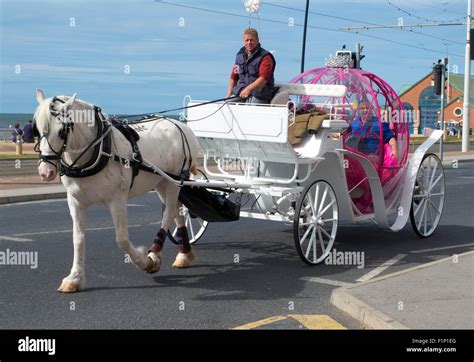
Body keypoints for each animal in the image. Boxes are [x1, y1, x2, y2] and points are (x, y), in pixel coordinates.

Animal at [33, 89, 200, 292]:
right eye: (36, 130)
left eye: (61, 131)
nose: (45, 172)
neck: (100, 150)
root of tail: (181, 125)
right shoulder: (75, 200)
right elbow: (78, 238)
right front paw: (74, 278)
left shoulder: (117, 200)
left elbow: (121, 239)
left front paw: (144, 261)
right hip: (162, 181)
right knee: (177, 210)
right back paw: (184, 254)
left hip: (174, 181)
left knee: (169, 212)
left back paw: (154, 253)